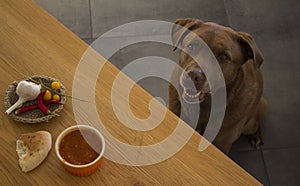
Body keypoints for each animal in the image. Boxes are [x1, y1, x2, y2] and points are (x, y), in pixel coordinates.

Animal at [169, 18, 268, 153]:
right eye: (191, 46)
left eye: (223, 56)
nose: (193, 76)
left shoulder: (222, 145)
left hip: (249, 124)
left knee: (256, 123)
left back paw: (256, 136)